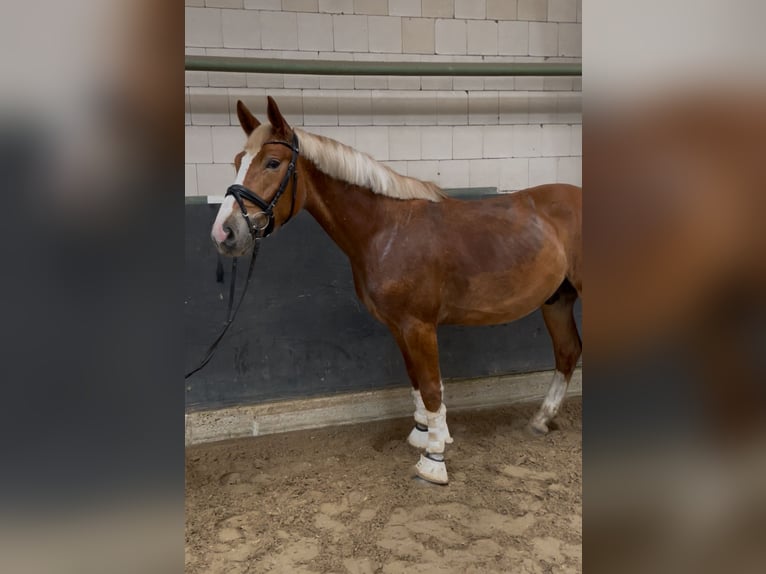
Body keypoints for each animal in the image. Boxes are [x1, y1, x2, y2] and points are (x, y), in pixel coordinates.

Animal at [210, 96, 582, 484]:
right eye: (237, 161)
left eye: (272, 163)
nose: (225, 232)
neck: (388, 230)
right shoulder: (397, 326)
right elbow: (416, 380)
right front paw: (423, 434)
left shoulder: (419, 325)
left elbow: (432, 386)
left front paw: (434, 459)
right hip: (557, 300)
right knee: (568, 352)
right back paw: (541, 419)